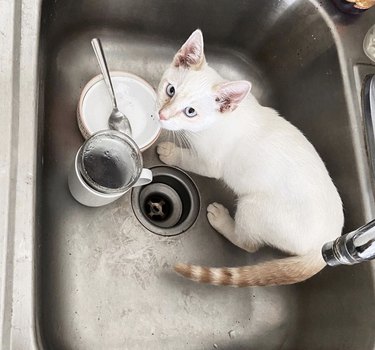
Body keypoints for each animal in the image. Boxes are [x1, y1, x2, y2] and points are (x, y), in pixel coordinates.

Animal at [156, 29, 344, 288]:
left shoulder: (211, 162)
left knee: (249, 244)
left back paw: (222, 220)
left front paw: (171, 152)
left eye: (190, 112)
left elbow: (190, 159)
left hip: (253, 209)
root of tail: (324, 245)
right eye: (170, 90)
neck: (217, 122)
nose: (162, 115)